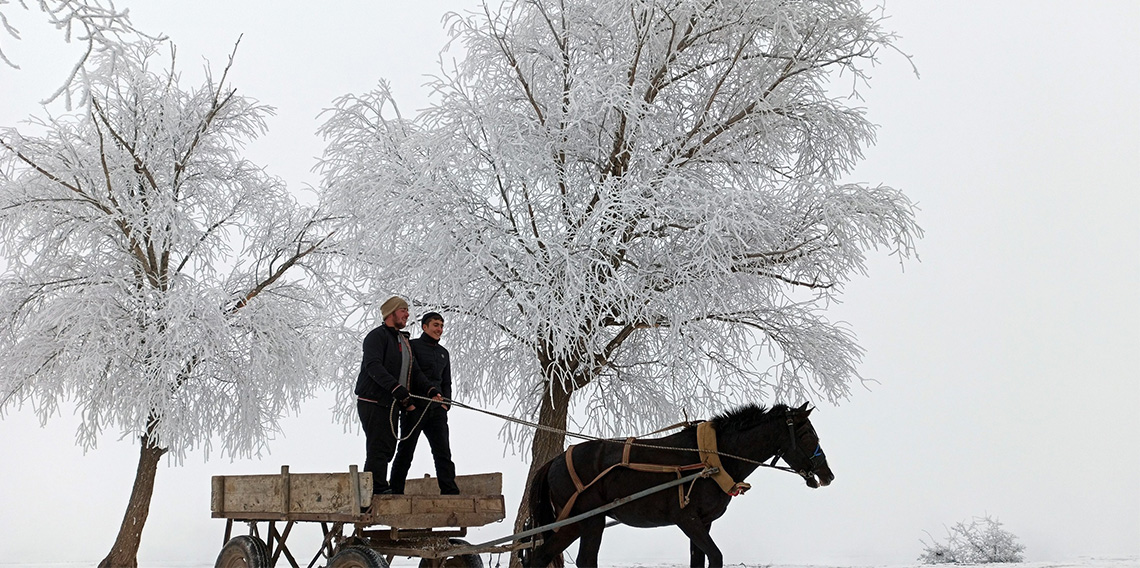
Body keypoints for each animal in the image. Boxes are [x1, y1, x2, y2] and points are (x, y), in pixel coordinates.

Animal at [522, 401, 834, 565]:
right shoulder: (687, 519)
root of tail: (554, 461)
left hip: (573, 523)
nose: (828, 475)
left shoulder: (704, 522)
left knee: (540, 557)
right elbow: (715, 556)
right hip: (591, 520)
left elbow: (699, 560)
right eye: (807, 435)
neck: (711, 458)